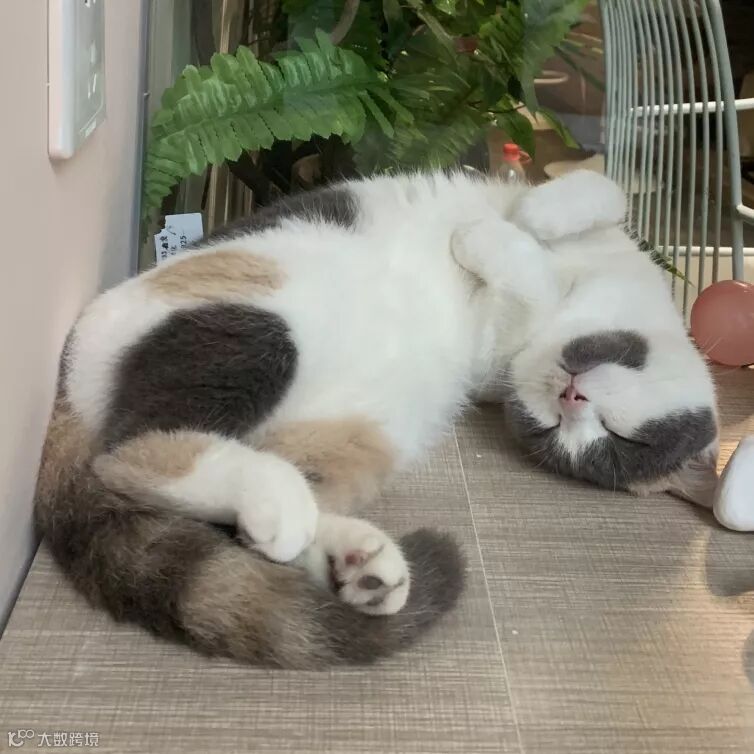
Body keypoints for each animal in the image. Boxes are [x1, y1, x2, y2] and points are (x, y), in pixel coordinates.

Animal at [34, 169, 718, 668]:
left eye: (604, 440)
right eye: (558, 430)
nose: (569, 401)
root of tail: (66, 387)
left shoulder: (499, 362)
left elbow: (535, 280)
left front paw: (497, 244)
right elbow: (596, 189)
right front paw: (524, 222)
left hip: (350, 428)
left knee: (206, 505)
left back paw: (353, 562)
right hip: (253, 329)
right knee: (127, 449)